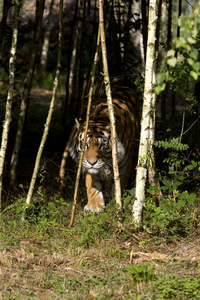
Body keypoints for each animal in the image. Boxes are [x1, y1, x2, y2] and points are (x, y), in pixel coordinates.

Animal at [69, 77, 138, 213]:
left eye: (102, 145)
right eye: (85, 145)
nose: (92, 162)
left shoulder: (125, 163)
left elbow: (119, 184)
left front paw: (115, 203)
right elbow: (92, 184)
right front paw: (94, 205)